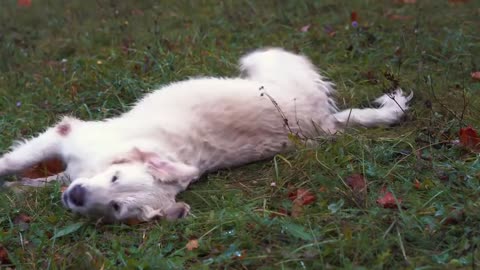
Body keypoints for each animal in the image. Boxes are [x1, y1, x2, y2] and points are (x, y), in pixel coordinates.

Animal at [0, 47, 412, 223]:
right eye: (114, 177)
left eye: (117, 207)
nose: (78, 197)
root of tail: (325, 121)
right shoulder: (65, 137)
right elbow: (16, 162)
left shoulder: (70, 149)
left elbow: (32, 175)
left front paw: (18, 189)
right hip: (267, 62)